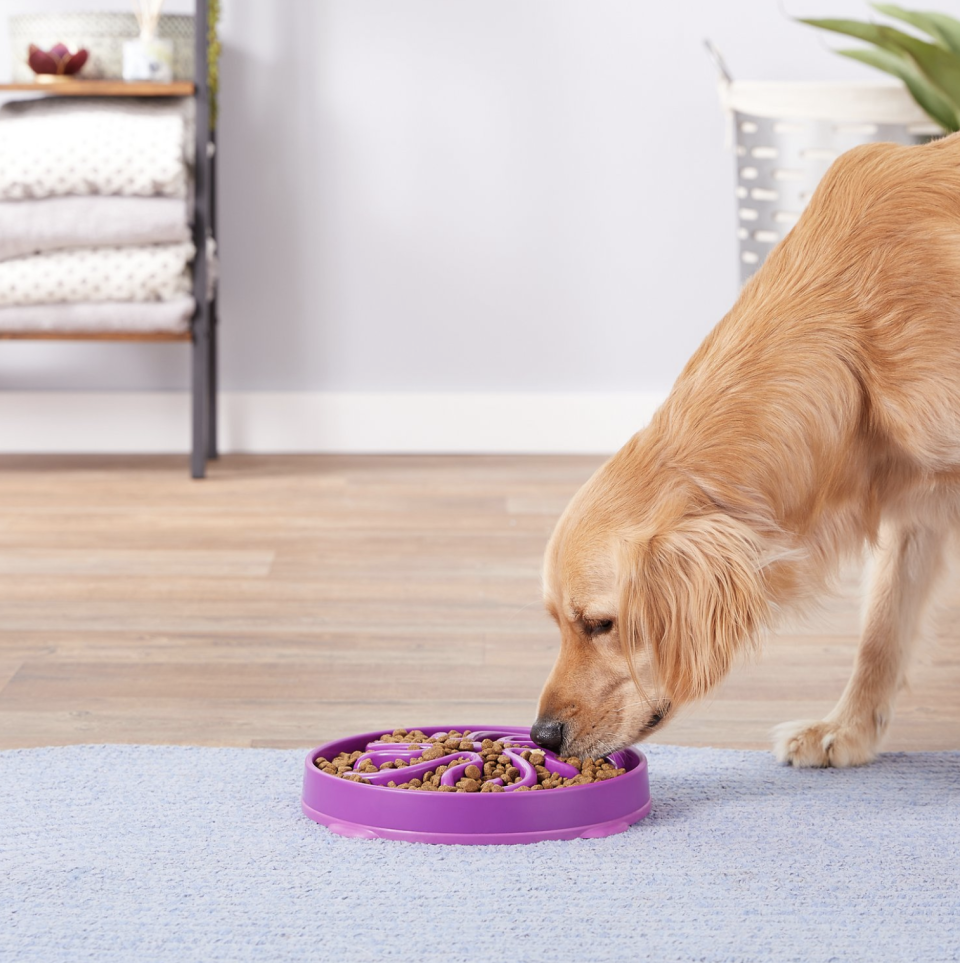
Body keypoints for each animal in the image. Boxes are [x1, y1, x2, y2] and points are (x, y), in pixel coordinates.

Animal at [528, 134, 960, 768]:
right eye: (559, 621)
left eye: (602, 624)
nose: (543, 736)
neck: (857, 334)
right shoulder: (919, 504)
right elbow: (883, 627)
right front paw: (847, 729)